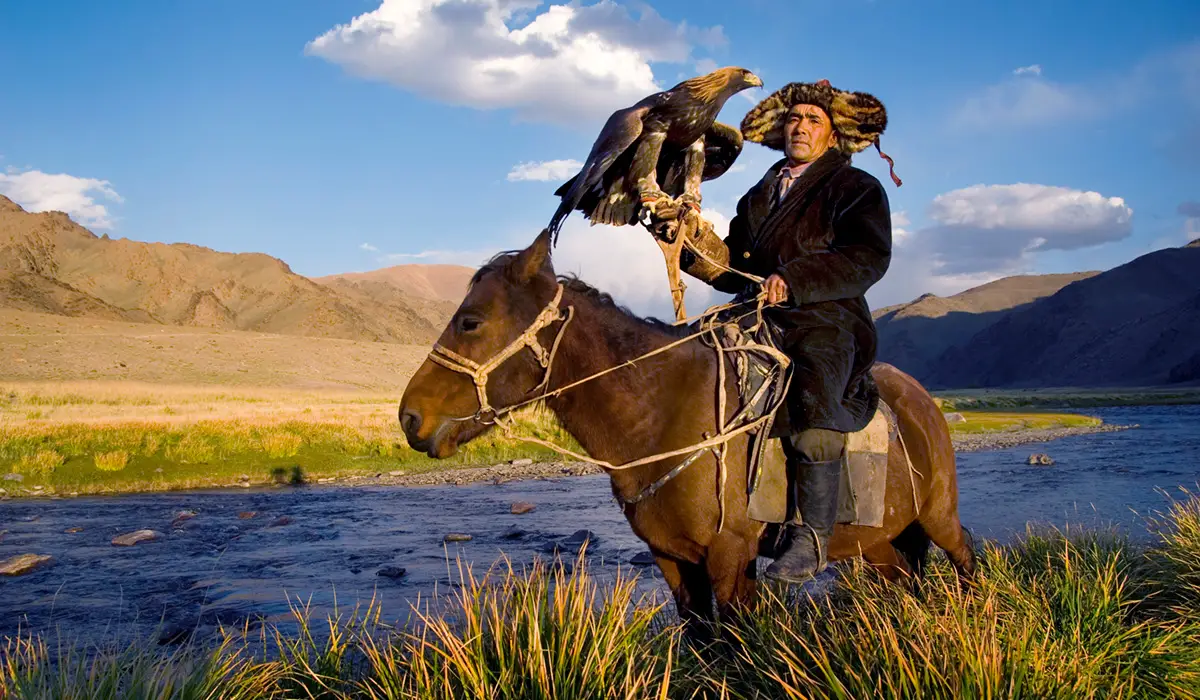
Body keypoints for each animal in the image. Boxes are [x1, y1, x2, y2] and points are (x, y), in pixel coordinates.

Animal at [398, 232, 979, 638]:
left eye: (471, 322)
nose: (409, 418)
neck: (661, 414)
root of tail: (921, 401)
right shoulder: (673, 560)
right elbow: (701, 643)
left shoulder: (731, 557)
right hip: (877, 543)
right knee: (905, 580)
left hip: (939, 515)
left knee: (966, 558)